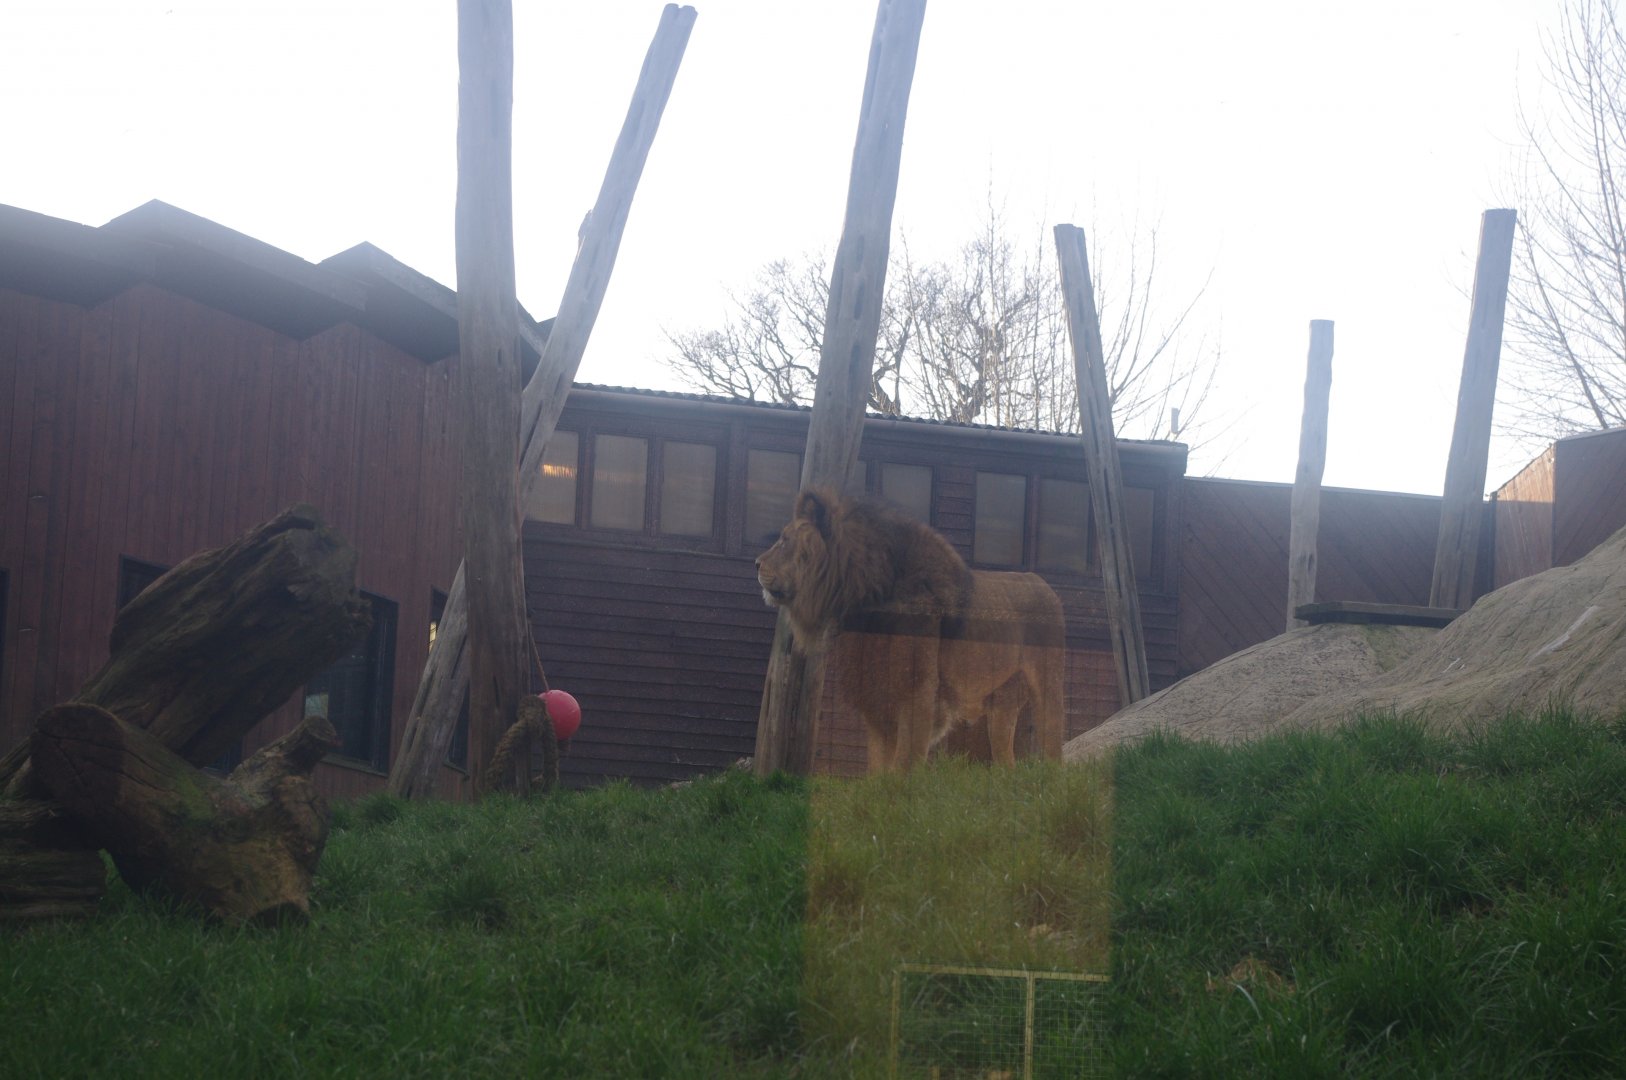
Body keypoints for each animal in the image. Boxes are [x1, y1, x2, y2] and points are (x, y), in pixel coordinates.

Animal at [755, 487, 1066, 772]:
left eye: (784, 540)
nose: (757, 563)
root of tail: (1043, 583)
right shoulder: (877, 697)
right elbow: (878, 770)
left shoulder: (919, 693)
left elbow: (903, 767)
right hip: (1002, 704)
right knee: (1006, 763)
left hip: (1048, 687)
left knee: (1053, 747)